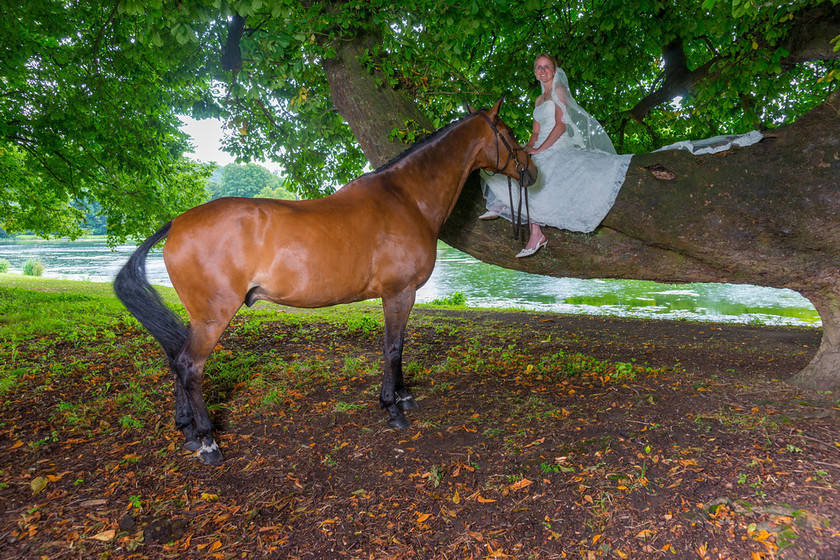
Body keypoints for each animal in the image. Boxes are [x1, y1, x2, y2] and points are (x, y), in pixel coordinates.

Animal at [115, 99, 536, 464]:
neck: (406, 198)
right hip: (213, 315)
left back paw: (188, 432)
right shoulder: (399, 293)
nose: (531, 171)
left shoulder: (401, 295)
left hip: (198, 316)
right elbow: (393, 349)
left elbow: (398, 348)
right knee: (190, 365)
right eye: (509, 132)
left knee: (175, 357)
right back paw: (208, 443)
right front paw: (393, 409)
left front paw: (403, 397)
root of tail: (177, 223)